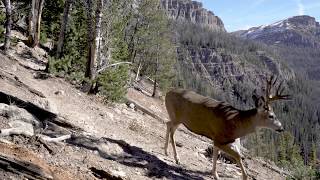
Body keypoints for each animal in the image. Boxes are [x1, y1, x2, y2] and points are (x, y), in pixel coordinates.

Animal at [164, 75, 292, 179]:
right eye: (271, 116)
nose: (281, 128)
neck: (236, 124)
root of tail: (167, 92)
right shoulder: (219, 138)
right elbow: (238, 156)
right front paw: (244, 177)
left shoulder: (222, 141)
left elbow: (216, 154)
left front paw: (215, 174)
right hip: (177, 117)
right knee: (171, 129)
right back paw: (176, 158)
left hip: (177, 118)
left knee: (168, 124)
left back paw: (166, 151)